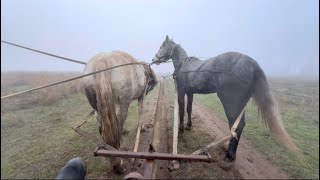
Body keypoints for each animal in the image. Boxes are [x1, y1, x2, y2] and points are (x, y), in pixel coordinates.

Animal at [152, 35, 298, 162]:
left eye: (162, 46)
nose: (154, 59)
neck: (185, 65)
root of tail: (253, 64)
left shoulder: (182, 91)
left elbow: (181, 110)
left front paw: (181, 130)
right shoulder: (190, 92)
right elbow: (189, 109)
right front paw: (189, 125)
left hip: (230, 102)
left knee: (237, 127)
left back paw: (229, 155)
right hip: (240, 104)